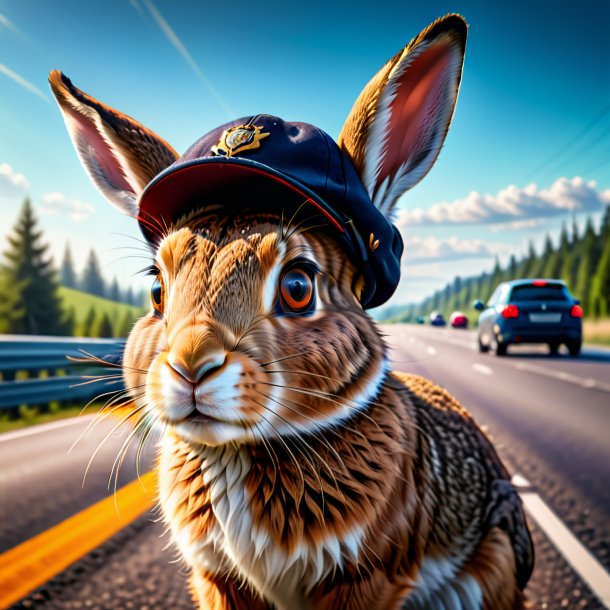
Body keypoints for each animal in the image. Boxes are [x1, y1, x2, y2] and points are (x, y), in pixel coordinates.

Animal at [50, 13, 528, 608]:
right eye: (157, 290)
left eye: (298, 286)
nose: (190, 367)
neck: (234, 452)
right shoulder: (218, 577)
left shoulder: (367, 578)